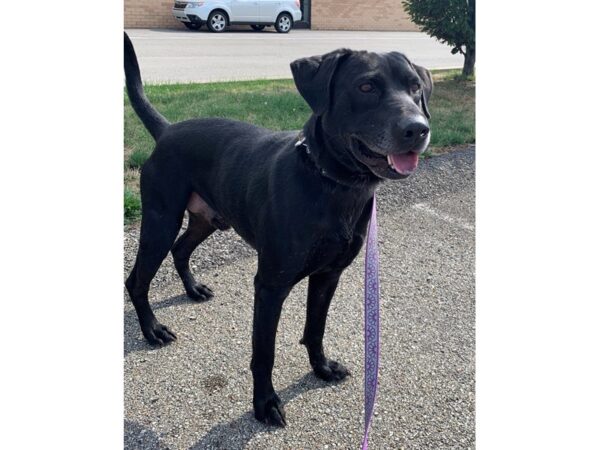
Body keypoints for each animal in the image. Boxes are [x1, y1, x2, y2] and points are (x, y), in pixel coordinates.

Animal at [124, 31, 432, 426]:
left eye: (415, 87)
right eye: (366, 86)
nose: (418, 129)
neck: (332, 183)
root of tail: (167, 131)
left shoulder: (329, 275)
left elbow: (315, 328)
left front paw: (322, 368)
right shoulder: (270, 287)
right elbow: (264, 352)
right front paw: (265, 403)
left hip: (207, 218)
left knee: (181, 249)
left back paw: (193, 289)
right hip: (160, 220)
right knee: (137, 280)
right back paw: (152, 330)